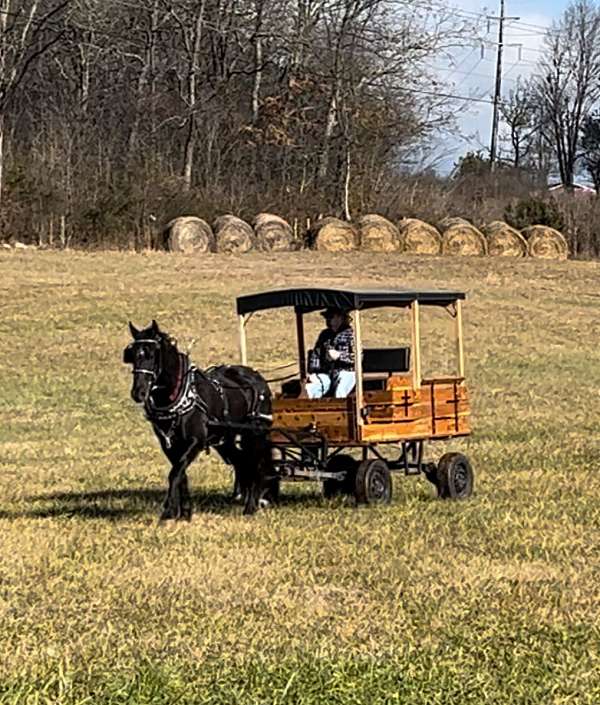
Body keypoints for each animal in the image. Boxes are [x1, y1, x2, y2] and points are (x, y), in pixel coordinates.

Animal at [124, 320, 274, 516]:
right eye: (132, 355)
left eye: (152, 354)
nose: (138, 393)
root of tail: (258, 378)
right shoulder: (168, 444)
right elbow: (180, 474)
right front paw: (181, 511)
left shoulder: (196, 441)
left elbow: (175, 473)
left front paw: (169, 510)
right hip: (226, 439)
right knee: (242, 462)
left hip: (255, 434)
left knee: (256, 464)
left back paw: (251, 506)